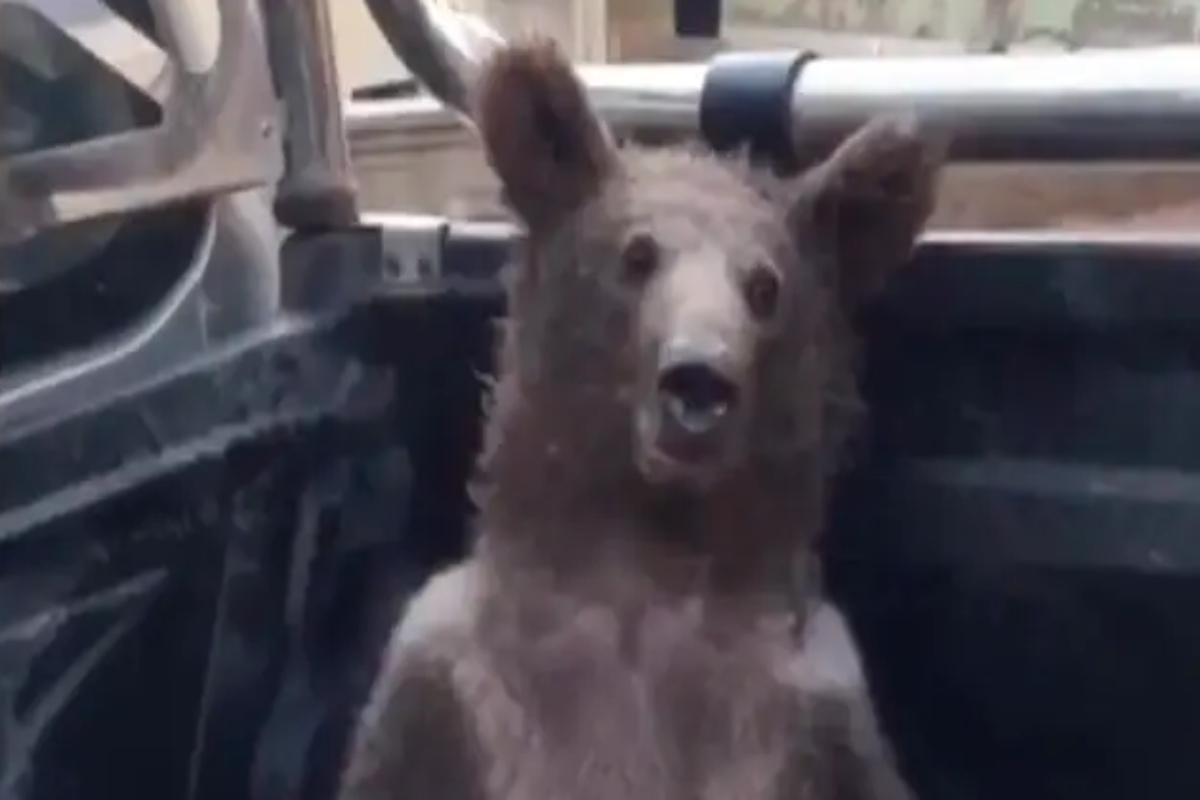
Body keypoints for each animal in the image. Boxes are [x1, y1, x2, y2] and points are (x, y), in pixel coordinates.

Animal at [338, 37, 947, 800]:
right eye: (637, 254)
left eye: (765, 285)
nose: (698, 383)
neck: (647, 570)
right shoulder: (444, 686)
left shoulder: (814, 707)